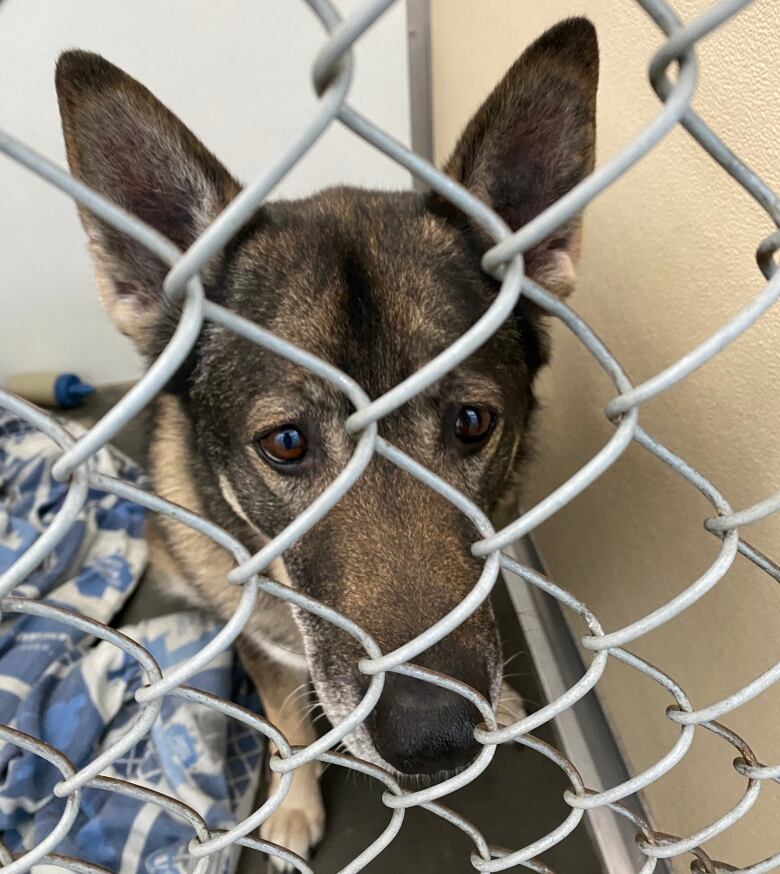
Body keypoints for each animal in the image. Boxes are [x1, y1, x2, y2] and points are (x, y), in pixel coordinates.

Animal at [54, 18, 596, 864]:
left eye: (473, 423)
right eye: (285, 442)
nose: (437, 739)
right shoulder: (268, 650)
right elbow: (287, 721)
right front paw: (294, 803)